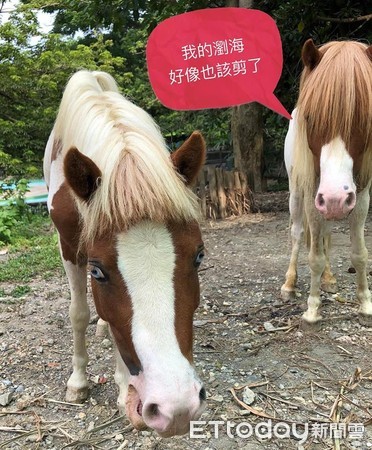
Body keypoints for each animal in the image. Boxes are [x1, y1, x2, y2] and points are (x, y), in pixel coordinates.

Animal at [44, 71, 206, 436]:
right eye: (97, 272)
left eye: (199, 257)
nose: (176, 408)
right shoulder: (69, 249)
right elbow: (78, 313)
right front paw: (78, 382)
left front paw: (122, 391)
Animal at [282, 40, 372, 328]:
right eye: (310, 118)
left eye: (366, 119)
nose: (335, 198)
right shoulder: (313, 194)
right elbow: (314, 256)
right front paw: (312, 309)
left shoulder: (360, 197)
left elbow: (359, 253)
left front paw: (365, 304)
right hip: (297, 195)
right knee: (298, 234)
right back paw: (289, 284)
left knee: (325, 235)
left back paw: (329, 279)